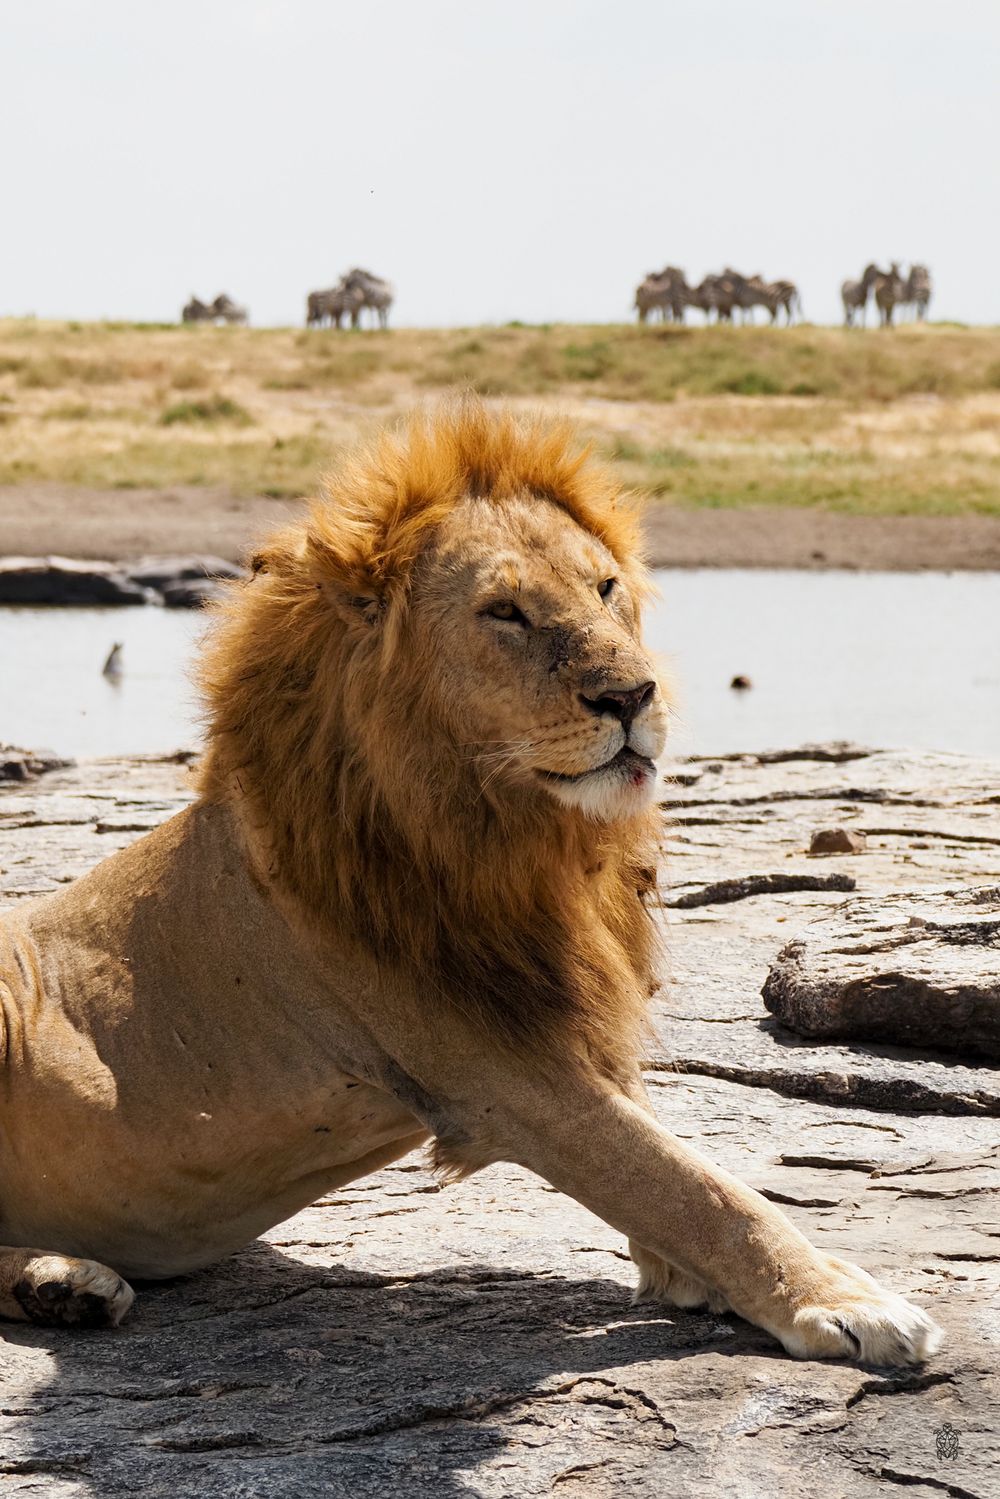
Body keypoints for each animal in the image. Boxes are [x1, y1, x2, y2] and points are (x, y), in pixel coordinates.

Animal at [0, 402, 941, 1363]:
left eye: (606, 588)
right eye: (506, 612)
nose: (634, 694)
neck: (515, 837)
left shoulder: (572, 1018)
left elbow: (662, 1153)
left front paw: (688, 1279)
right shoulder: (498, 1073)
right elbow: (688, 1183)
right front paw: (847, 1301)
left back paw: (59, 1281)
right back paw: (64, 1280)